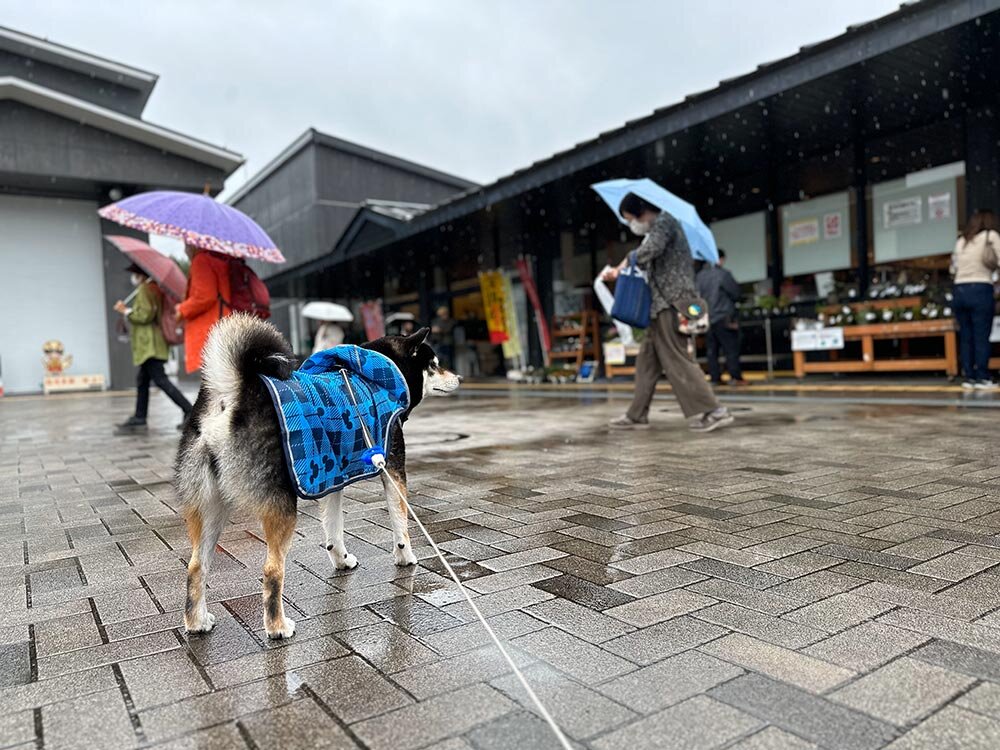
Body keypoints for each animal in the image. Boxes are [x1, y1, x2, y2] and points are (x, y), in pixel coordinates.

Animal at [176, 312, 460, 640]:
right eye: (434, 364)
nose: (459, 377)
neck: (379, 374)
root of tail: (231, 394)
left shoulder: (330, 474)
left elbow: (333, 531)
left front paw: (342, 561)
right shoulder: (392, 469)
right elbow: (400, 523)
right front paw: (405, 558)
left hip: (211, 507)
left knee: (197, 566)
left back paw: (197, 622)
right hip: (279, 508)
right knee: (272, 570)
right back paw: (277, 627)